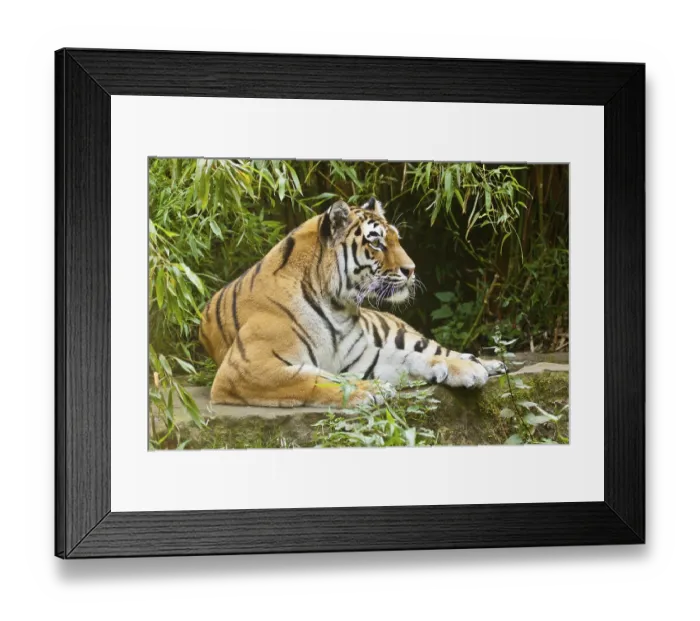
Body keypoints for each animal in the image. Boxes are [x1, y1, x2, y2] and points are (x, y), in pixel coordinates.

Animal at [199, 198, 505, 407]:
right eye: (377, 243)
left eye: (396, 239)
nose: (412, 269)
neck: (335, 306)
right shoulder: (247, 369)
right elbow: (313, 378)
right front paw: (370, 390)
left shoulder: (361, 355)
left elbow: (408, 358)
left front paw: (464, 370)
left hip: (402, 334)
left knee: (438, 349)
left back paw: (487, 364)